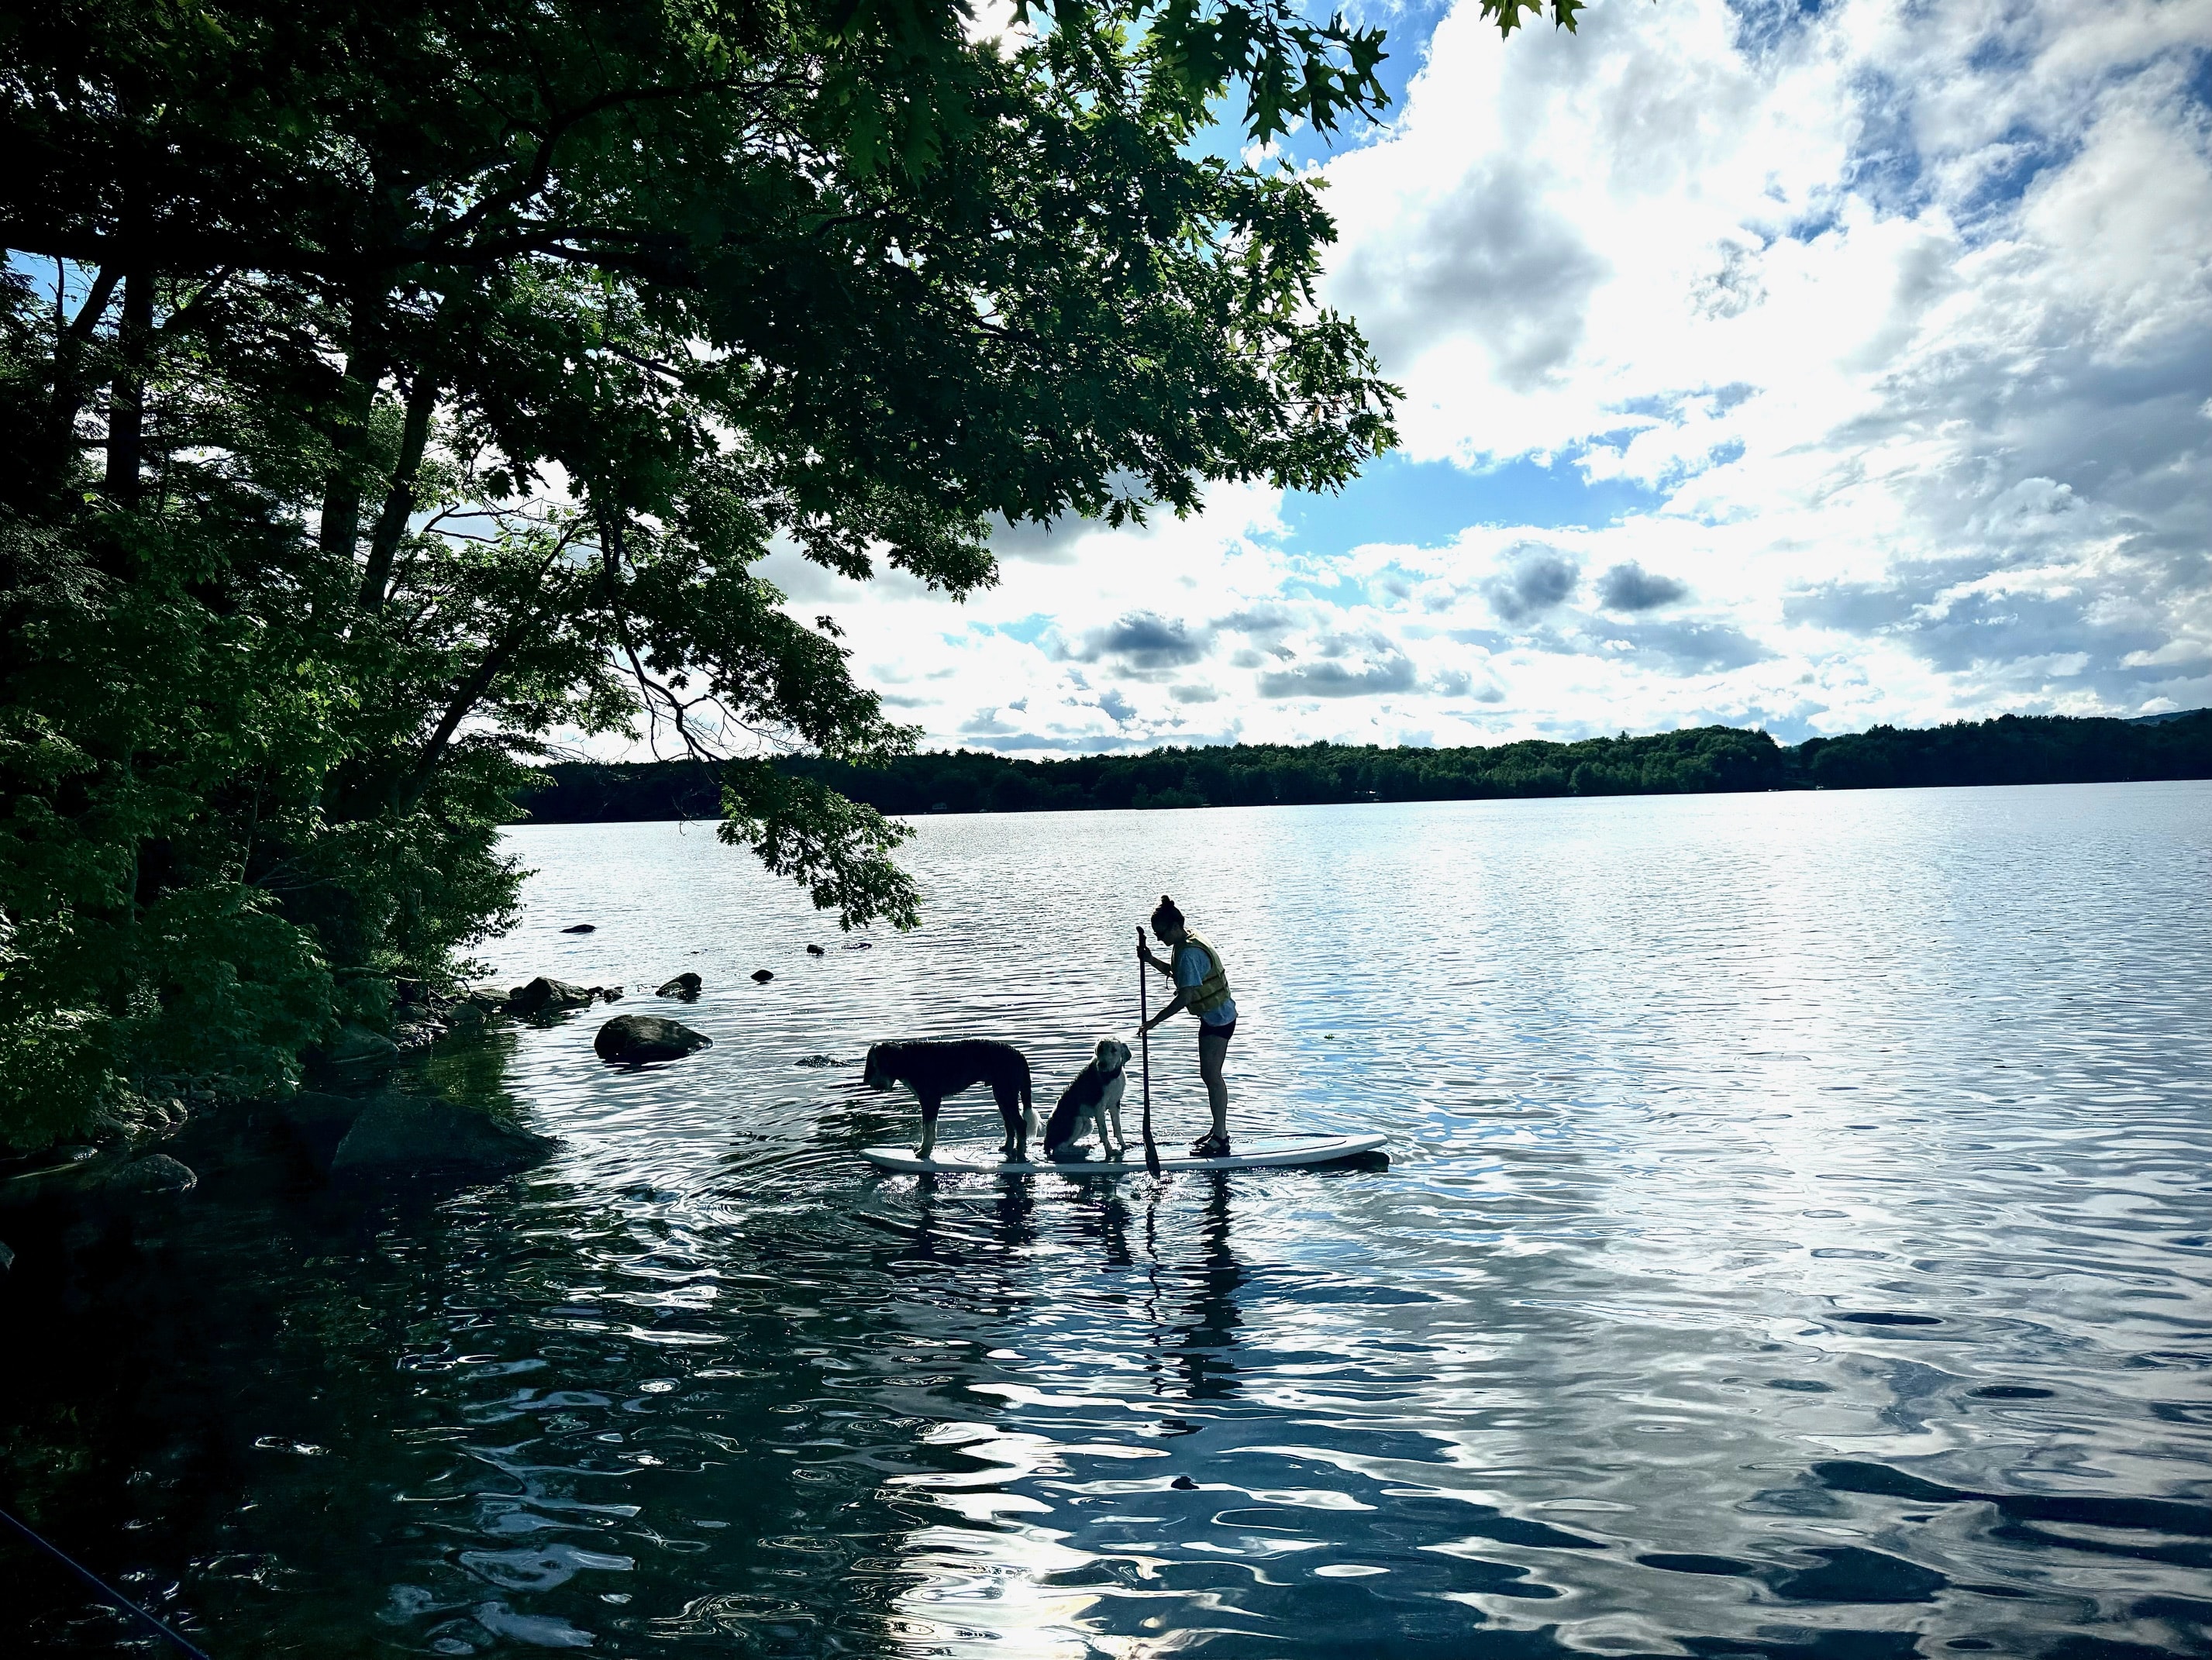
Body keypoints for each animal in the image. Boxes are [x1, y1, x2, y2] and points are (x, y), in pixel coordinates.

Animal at [863, 1038, 1035, 1158]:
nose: (869, 1082)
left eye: (875, 1063)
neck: (907, 1060)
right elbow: (926, 1128)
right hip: (1001, 1095)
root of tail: (1019, 1054)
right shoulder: (926, 1101)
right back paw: (1007, 1147)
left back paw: (1020, 1154)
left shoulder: (930, 1100)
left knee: (1020, 1124)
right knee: (1010, 1124)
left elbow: (928, 1128)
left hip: (1006, 1093)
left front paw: (924, 1152)